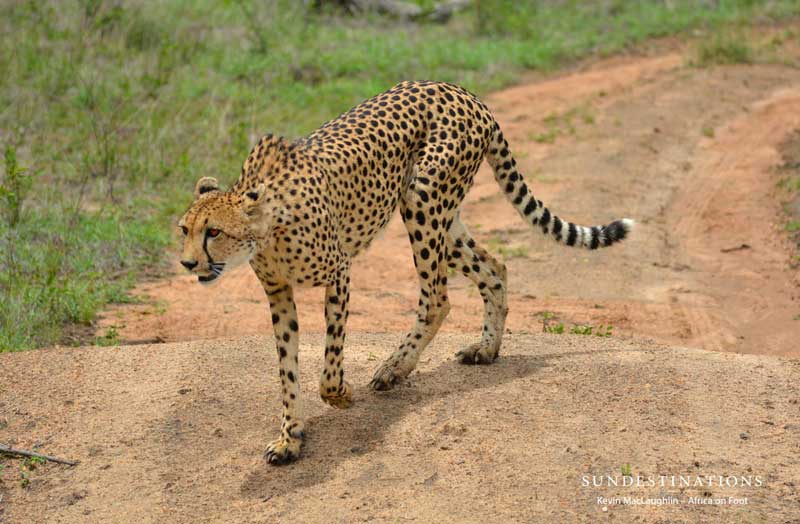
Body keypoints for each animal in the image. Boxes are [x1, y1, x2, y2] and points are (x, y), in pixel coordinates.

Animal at [178, 80, 633, 465]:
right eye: (184, 229)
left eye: (213, 232)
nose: (187, 263)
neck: (266, 229)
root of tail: (460, 90)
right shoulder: (278, 293)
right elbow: (287, 366)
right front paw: (291, 438)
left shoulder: (339, 272)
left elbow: (329, 362)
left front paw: (340, 396)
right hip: (444, 219)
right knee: (494, 267)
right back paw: (485, 349)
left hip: (422, 199)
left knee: (437, 299)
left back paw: (394, 368)